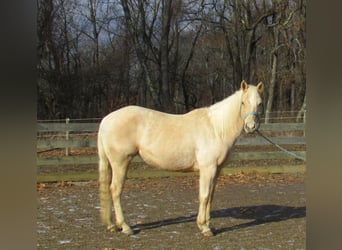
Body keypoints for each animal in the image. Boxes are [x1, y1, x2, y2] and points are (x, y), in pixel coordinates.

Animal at [97, 80, 264, 236]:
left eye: (260, 103)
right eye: (243, 102)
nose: (251, 127)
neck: (216, 128)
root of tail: (106, 120)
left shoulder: (217, 170)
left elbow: (210, 196)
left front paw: (209, 225)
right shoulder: (207, 168)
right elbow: (204, 196)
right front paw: (204, 227)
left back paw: (112, 225)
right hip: (120, 163)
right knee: (115, 190)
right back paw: (125, 227)